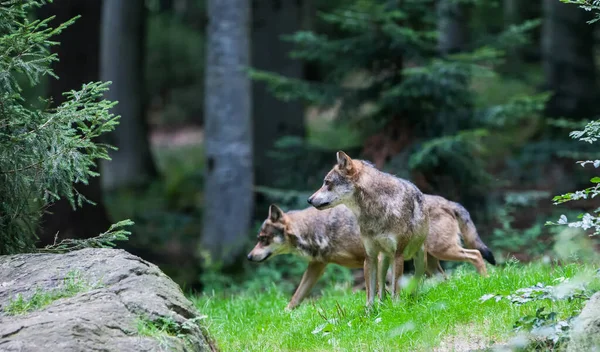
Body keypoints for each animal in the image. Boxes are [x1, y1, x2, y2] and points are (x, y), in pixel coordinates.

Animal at [246, 197, 494, 310]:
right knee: (447, 278)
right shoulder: (317, 267)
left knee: (476, 255)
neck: (317, 228)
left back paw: (486, 282)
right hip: (432, 262)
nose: (249, 257)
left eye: (263, 239)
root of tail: (447, 201)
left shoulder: (373, 258)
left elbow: (379, 288)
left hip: (445, 251)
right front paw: (285, 313)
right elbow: (296, 296)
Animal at [308, 150, 428, 306]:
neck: (375, 212)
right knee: (382, 288)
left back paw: (411, 299)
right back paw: (383, 305)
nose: (309, 200)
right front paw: (370, 311)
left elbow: (395, 289)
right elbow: (370, 293)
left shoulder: (398, 254)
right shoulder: (370, 256)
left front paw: (397, 307)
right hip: (382, 260)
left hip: (419, 261)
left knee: (414, 282)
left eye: (327, 182)